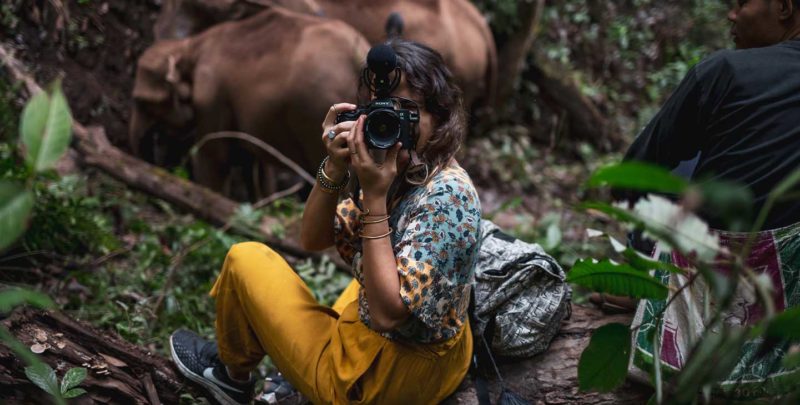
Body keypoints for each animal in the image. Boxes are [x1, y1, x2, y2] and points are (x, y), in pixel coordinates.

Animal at [131, 4, 368, 197]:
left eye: (144, 102)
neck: (190, 47)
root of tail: (357, 52)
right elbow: (254, 165)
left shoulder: (210, 99)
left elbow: (214, 158)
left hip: (312, 108)